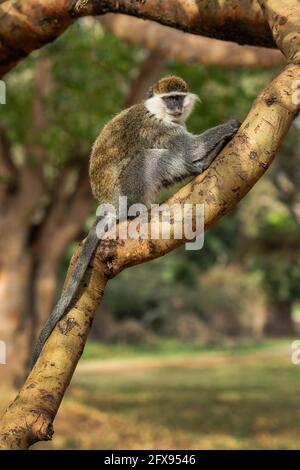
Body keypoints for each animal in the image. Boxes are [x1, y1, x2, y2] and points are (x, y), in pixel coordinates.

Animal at [31, 75, 240, 366]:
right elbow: (191, 146)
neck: (158, 111)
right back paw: (199, 164)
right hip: (129, 190)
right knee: (149, 157)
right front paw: (230, 125)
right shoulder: (157, 127)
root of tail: (111, 206)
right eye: (169, 98)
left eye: (178, 97)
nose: (176, 107)